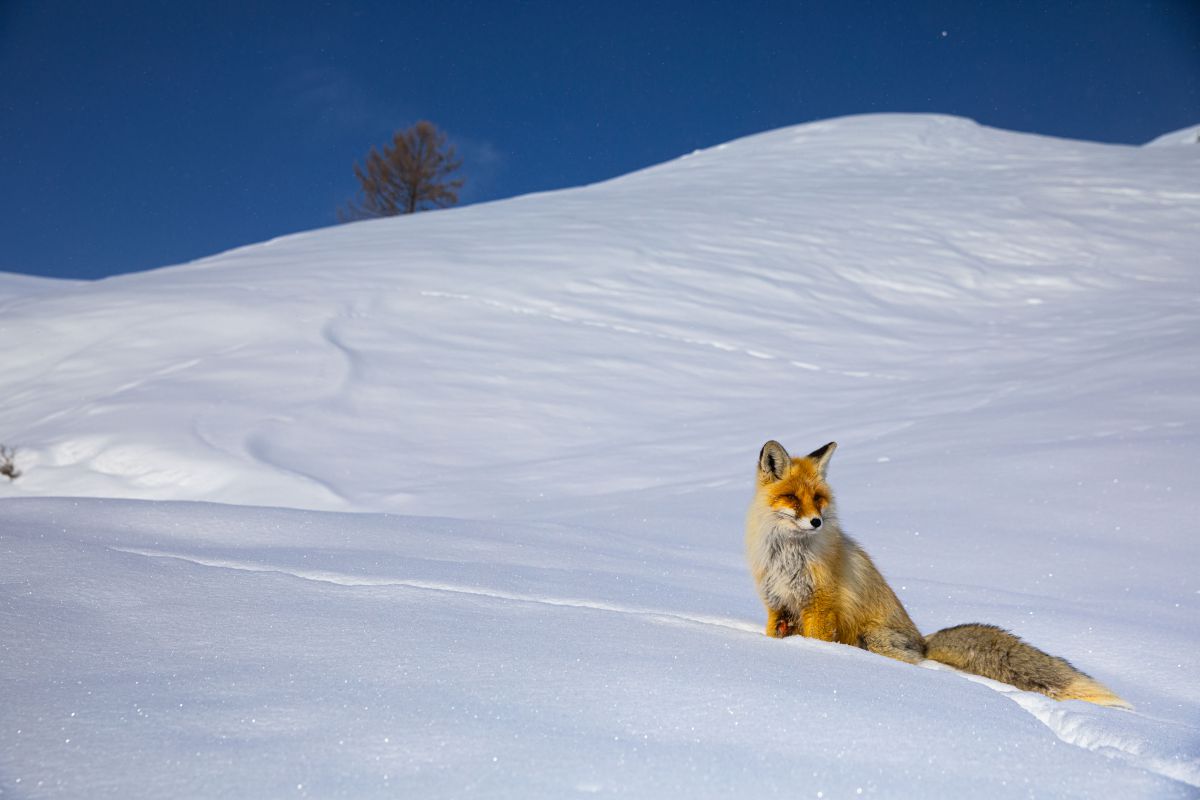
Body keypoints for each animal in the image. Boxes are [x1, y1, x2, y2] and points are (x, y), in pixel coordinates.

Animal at [744, 441, 1128, 710]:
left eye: (819, 499)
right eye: (793, 498)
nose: (817, 522)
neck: (788, 557)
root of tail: (924, 641)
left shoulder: (819, 606)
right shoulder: (777, 604)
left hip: (872, 638)